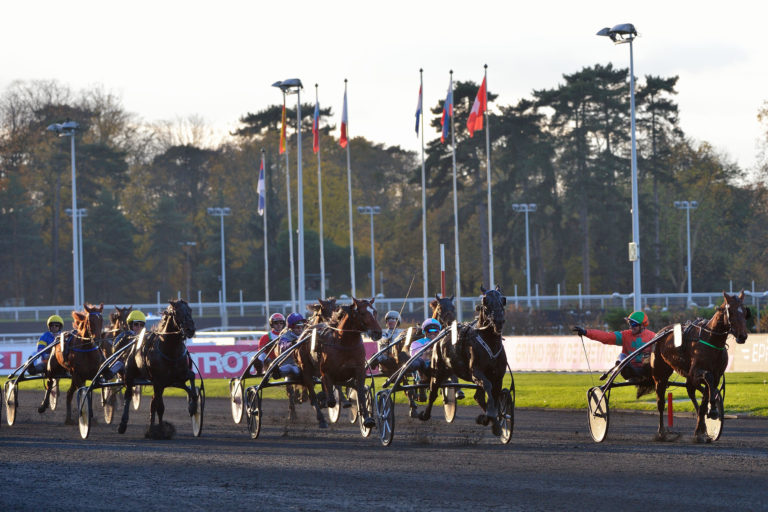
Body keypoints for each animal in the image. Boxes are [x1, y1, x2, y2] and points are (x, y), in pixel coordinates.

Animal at [117, 300, 196, 440]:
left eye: (190, 310)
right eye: (177, 312)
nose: (190, 329)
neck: (170, 349)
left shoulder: (179, 376)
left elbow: (192, 378)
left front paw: (192, 406)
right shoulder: (159, 381)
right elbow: (160, 407)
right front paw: (160, 431)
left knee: (153, 402)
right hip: (130, 375)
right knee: (129, 396)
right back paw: (123, 424)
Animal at [298, 296, 384, 428]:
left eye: (375, 312)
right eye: (362, 313)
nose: (377, 333)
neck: (345, 343)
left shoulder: (359, 370)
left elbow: (360, 394)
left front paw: (367, 418)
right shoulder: (326, 371)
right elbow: (331, 400)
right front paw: (326, 401)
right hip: (305, 369)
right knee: (313, 394)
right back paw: (322, 418)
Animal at [416, 284, 508, 436]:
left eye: (503, 300)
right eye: (485, 301)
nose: (499, 321)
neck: (490, 343)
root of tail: (442, 334)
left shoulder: (498, 377)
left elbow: (493, 397)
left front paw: (493, 421)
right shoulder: (476, 373)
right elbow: (488, 387)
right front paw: (489, 416)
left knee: (478, 396)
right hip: (437, 371)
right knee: (433, 392)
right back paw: (425, 414)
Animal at [648, 290, 752, 442]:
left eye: (745, 312)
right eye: (731, 311)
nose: (742, 336)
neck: (711, 341)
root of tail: (660, 332)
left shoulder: (716, 375)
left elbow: (707, 396)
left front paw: (701, 429)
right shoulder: (696, 371)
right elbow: (707, 380)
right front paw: (712, 411)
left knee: (692, 391)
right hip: (660, 375)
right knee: (661, 402)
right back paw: (661, 432)